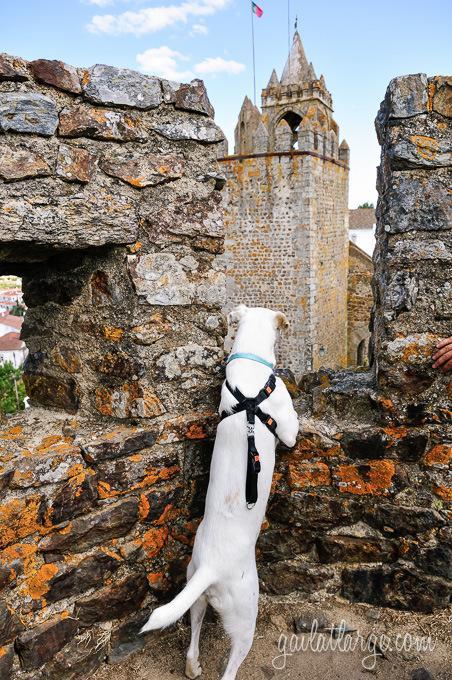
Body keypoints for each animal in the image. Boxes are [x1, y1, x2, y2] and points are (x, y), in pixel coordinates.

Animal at [139, 306, 298, 680]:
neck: (251, 383)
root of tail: (211, 567)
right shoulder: (287, 427)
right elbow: (293, 432)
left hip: (194, 593)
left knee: (193, 634)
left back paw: (193, 666)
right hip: (245, 614)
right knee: (231, 665)